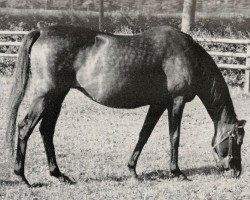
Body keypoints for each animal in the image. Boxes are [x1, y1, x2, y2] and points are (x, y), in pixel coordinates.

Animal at [5, 25, 246, 187]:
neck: (187, 56)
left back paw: (59, 175)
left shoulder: (158, 103)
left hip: (57, 96)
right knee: (25, 128)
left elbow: (144, 135)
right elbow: (174, 136)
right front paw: (177, 172)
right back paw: (22, 177)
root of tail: (41, 32)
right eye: (237, 140)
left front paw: (132, 170)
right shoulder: (176, 102)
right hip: (44, 96)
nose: (237, 171)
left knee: (46, 130)